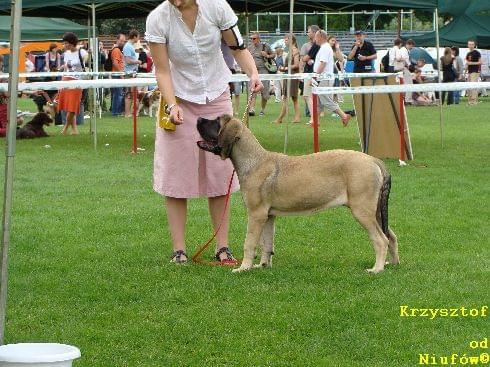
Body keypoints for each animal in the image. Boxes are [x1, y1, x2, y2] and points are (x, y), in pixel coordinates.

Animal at [197, 115, 400, 274]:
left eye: (216, 122)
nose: (198, 119)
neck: (254, 161)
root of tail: (374, 160)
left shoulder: (256, 215)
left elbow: (250, 243)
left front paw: (244, 267)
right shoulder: (268, 216)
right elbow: (267, 244)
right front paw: (263, 265)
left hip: (362, 211)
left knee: (381, 239)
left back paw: (377, 269)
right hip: (376, 212)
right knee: (391, 236)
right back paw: (392, 263)